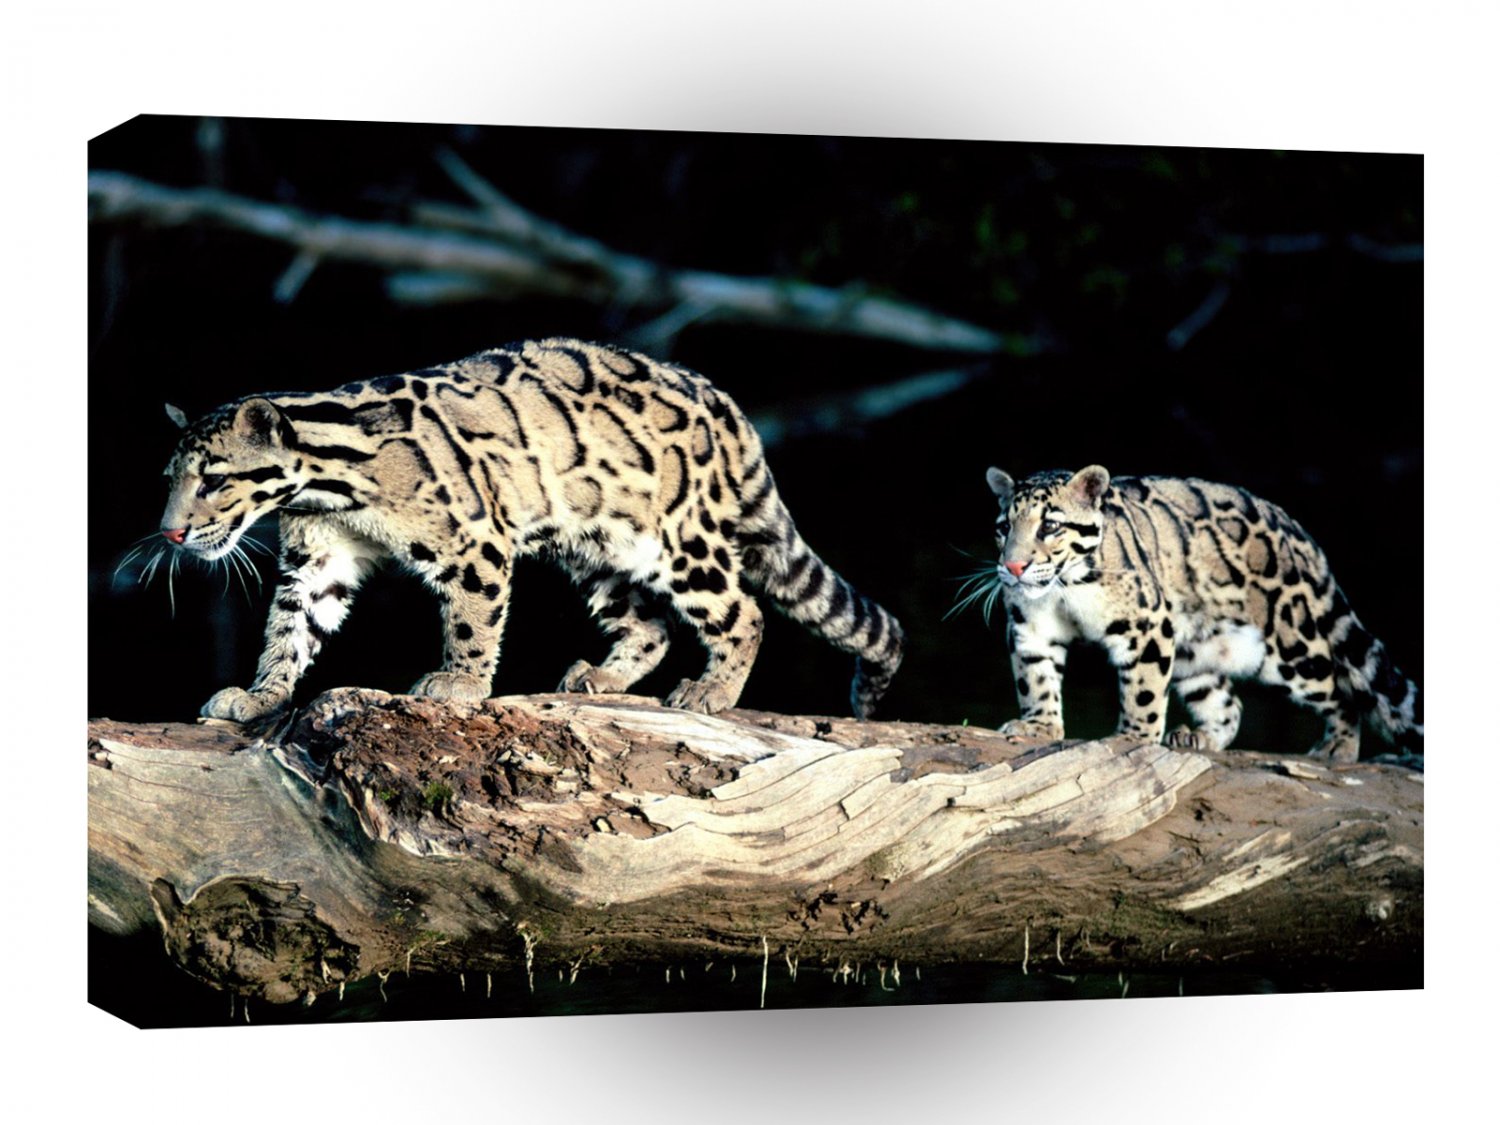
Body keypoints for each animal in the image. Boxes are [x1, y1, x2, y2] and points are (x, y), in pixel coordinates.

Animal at [154, 338, 904, 722]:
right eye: (170, 476)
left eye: (213, 480)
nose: (171, 535)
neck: (329, 482)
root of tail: (731, 411)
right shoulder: (317, 558)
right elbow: (290, 629)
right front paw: (262, 694)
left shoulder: (472, 539)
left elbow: (473, 619)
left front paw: (459, 683)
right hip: (599, 548)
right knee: (651, 626)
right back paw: (602, 676)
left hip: (680, 540)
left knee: (743, 611)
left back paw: (712, 690)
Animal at [958, 464, 1421, 763]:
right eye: (1003, 527)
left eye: (1050, 526)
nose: (1013, 567)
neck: (1063, 590)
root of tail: (1302, 536)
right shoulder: (1030, 627)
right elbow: (1035, 678)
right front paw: (1039, 726)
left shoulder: (1147, 624)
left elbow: (1143, 691)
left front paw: (1133, 738)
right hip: (1194, 652)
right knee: (1229, 703)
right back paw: (1198, 738)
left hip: (1291, 648)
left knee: (1341, 690)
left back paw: (1338, 747)